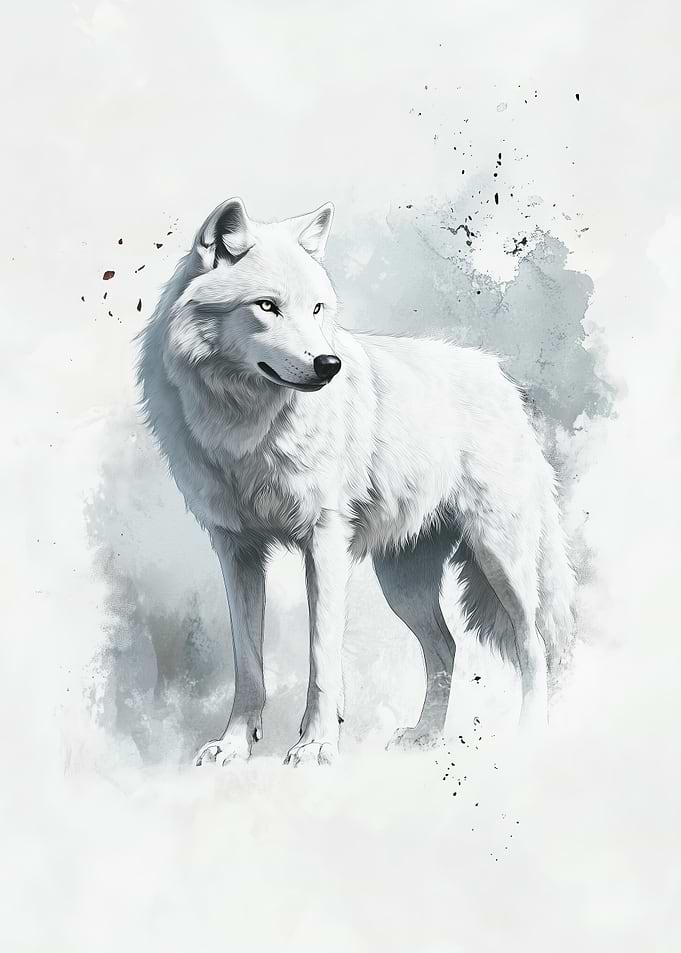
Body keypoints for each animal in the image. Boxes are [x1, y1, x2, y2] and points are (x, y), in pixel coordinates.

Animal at [137, 197, 575, 767]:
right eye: (266, 306)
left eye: (317, 309)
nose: (330, 365)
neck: (245, 428)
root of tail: (500, 376)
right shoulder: (237, 551)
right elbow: (248, 665)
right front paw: (233, 746)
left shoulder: (323, 542)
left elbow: (322, 657)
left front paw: (317, 746)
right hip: (403, 583)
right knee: (447, 648)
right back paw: (425, 737)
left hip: (500, 559)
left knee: (533, 645)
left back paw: (528, 738)